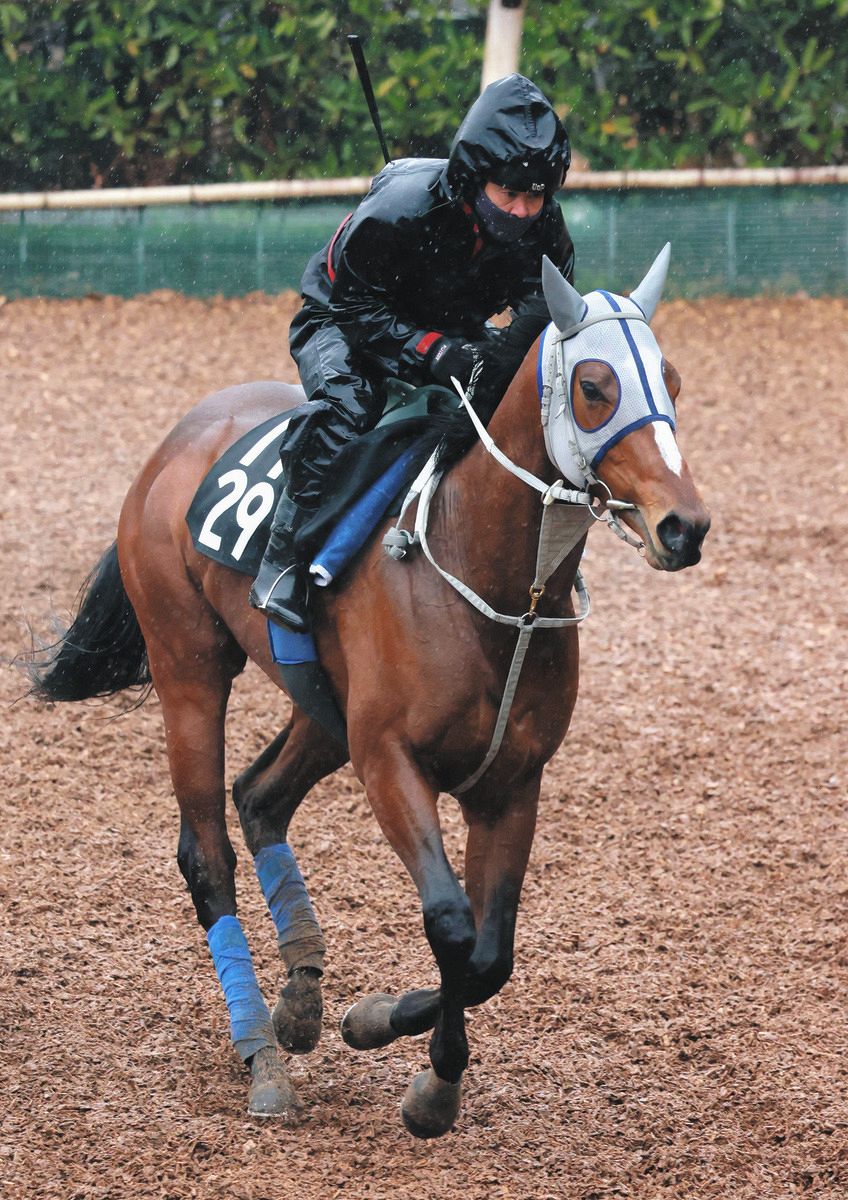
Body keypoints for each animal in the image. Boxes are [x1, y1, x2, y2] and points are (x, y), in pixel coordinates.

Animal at [28, 241, 710, 1132]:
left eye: (671, 379)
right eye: (595, 386)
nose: (684, 526)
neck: (492, 581)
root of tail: (177, 440)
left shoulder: (512, 783)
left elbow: (490, 953)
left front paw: (390, 1036)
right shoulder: (388, 759)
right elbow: (452, 926)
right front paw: (417, 1071)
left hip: (321, 706)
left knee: (260, 796)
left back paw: (300, 999)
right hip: (189, 667)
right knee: (206, 851)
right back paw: (263, 1059)